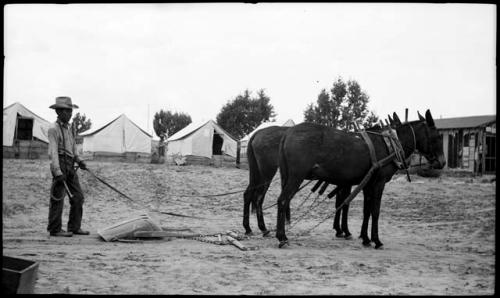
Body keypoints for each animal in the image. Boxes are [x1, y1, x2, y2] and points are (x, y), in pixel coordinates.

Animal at [278, 110, 446, 248]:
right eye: (437, 136)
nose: (442, 162)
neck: (391, 144)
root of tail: (288, 133)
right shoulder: (378, 183)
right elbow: (375, 211)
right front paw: (376, 240)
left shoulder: (368, 183)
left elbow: (367, 210)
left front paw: (365, 238)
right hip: (296, 177)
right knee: (283, 200)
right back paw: (282, 237)